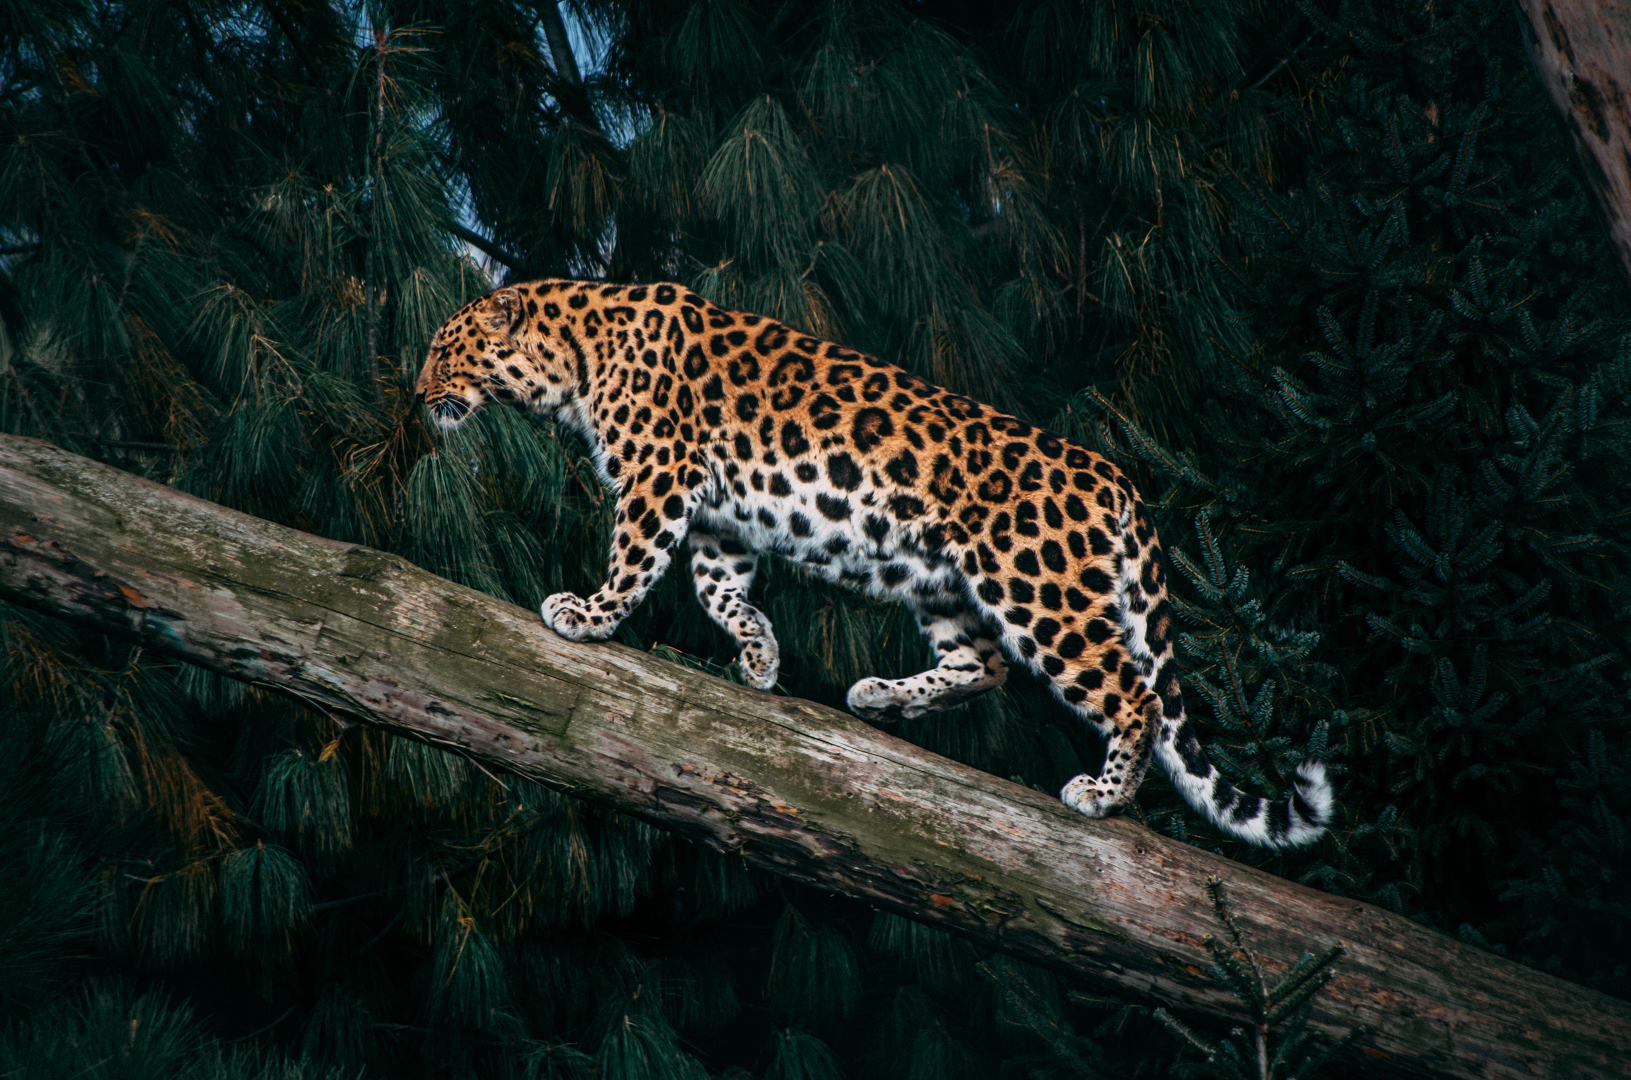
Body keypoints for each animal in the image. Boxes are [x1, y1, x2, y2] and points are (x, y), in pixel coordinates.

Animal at [413, 279, 1331, 848]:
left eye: (443, 351)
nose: (416, 395)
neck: (573, 356)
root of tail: (1117, 480)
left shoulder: (660, 475)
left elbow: (635, 558)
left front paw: (588, 616)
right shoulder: (718, 519)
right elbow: (717, 591)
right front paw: (758, 656)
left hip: (1036, 587)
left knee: (1128, 691)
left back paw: (1102, 796)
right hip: (949, 582)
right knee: (984, 664)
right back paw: (880, 697)